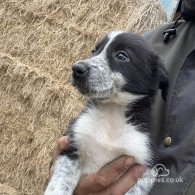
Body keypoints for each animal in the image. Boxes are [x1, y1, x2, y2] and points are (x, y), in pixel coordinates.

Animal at [43, 31, 168, 194]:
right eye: (94, 51)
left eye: (121, 56)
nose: (76, 68)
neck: (112, 113)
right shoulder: (71, 147)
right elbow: (59, 186)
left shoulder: (145, 167)